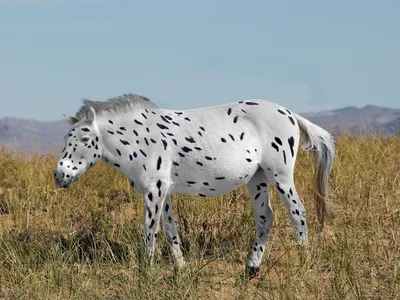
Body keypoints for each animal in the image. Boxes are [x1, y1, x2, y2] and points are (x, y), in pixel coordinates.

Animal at [53, 94, 334, 276]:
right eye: (66, 138)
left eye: (85, 138)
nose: (59, 175)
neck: (140, 136)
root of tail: (291, 114)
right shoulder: (163, 192)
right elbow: (170, 230)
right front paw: (181, 267)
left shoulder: (154, 190)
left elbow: (150, 229)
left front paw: (146, 270)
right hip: (258, 180)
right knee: (265, 217)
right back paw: (252, 268)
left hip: (281, 176)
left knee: (298, 213)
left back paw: (303, 262)